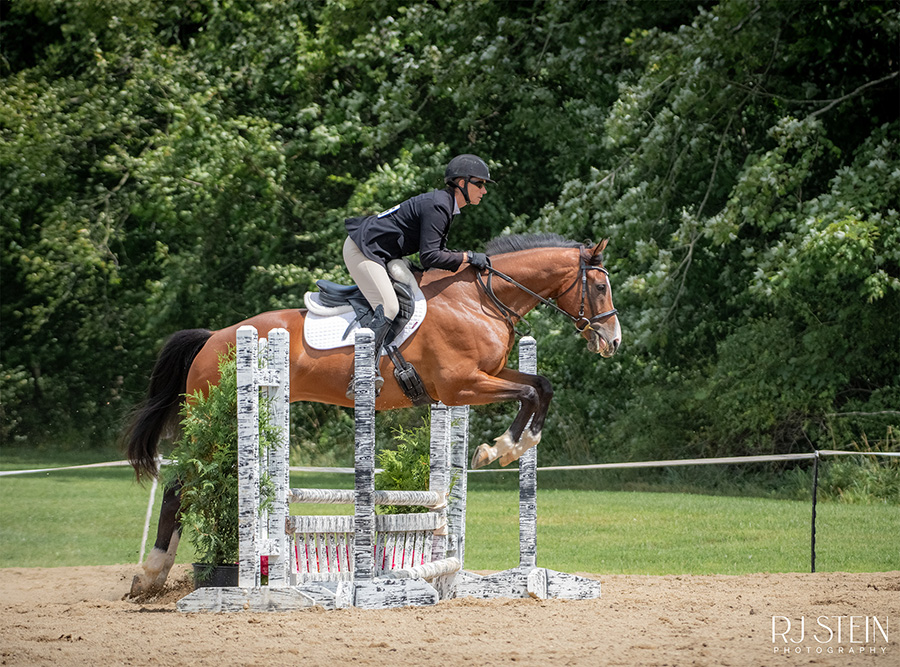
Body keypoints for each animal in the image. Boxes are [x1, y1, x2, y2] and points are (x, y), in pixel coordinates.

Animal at [125, 234, 620, 596]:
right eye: (599, 287)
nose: (612, 341)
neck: (478, 301)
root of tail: (213, 338)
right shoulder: (462, 384)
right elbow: (531, 393)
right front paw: (500, 449)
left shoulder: (487, 375)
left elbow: (541, 387)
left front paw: (508, 446)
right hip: (220, 421)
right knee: (179, 487)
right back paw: (151, 574)